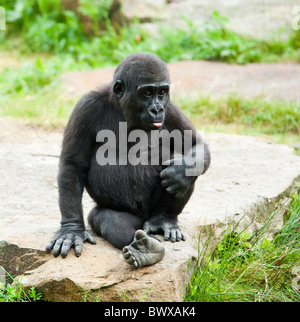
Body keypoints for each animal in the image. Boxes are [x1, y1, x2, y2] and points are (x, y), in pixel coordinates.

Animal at [46, 52, 211, 268]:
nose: (157, 109)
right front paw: (71, 230)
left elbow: (194, 145)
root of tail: (145, 220)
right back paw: (143, 249)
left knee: (184, 166)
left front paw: (180, 172)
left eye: (162, 92)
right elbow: (72, 165)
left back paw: (164, 219)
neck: (123, 107)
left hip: (151, 213)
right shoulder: (86, 106)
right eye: (147, 93)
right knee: (108, 219)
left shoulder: (171, 108)